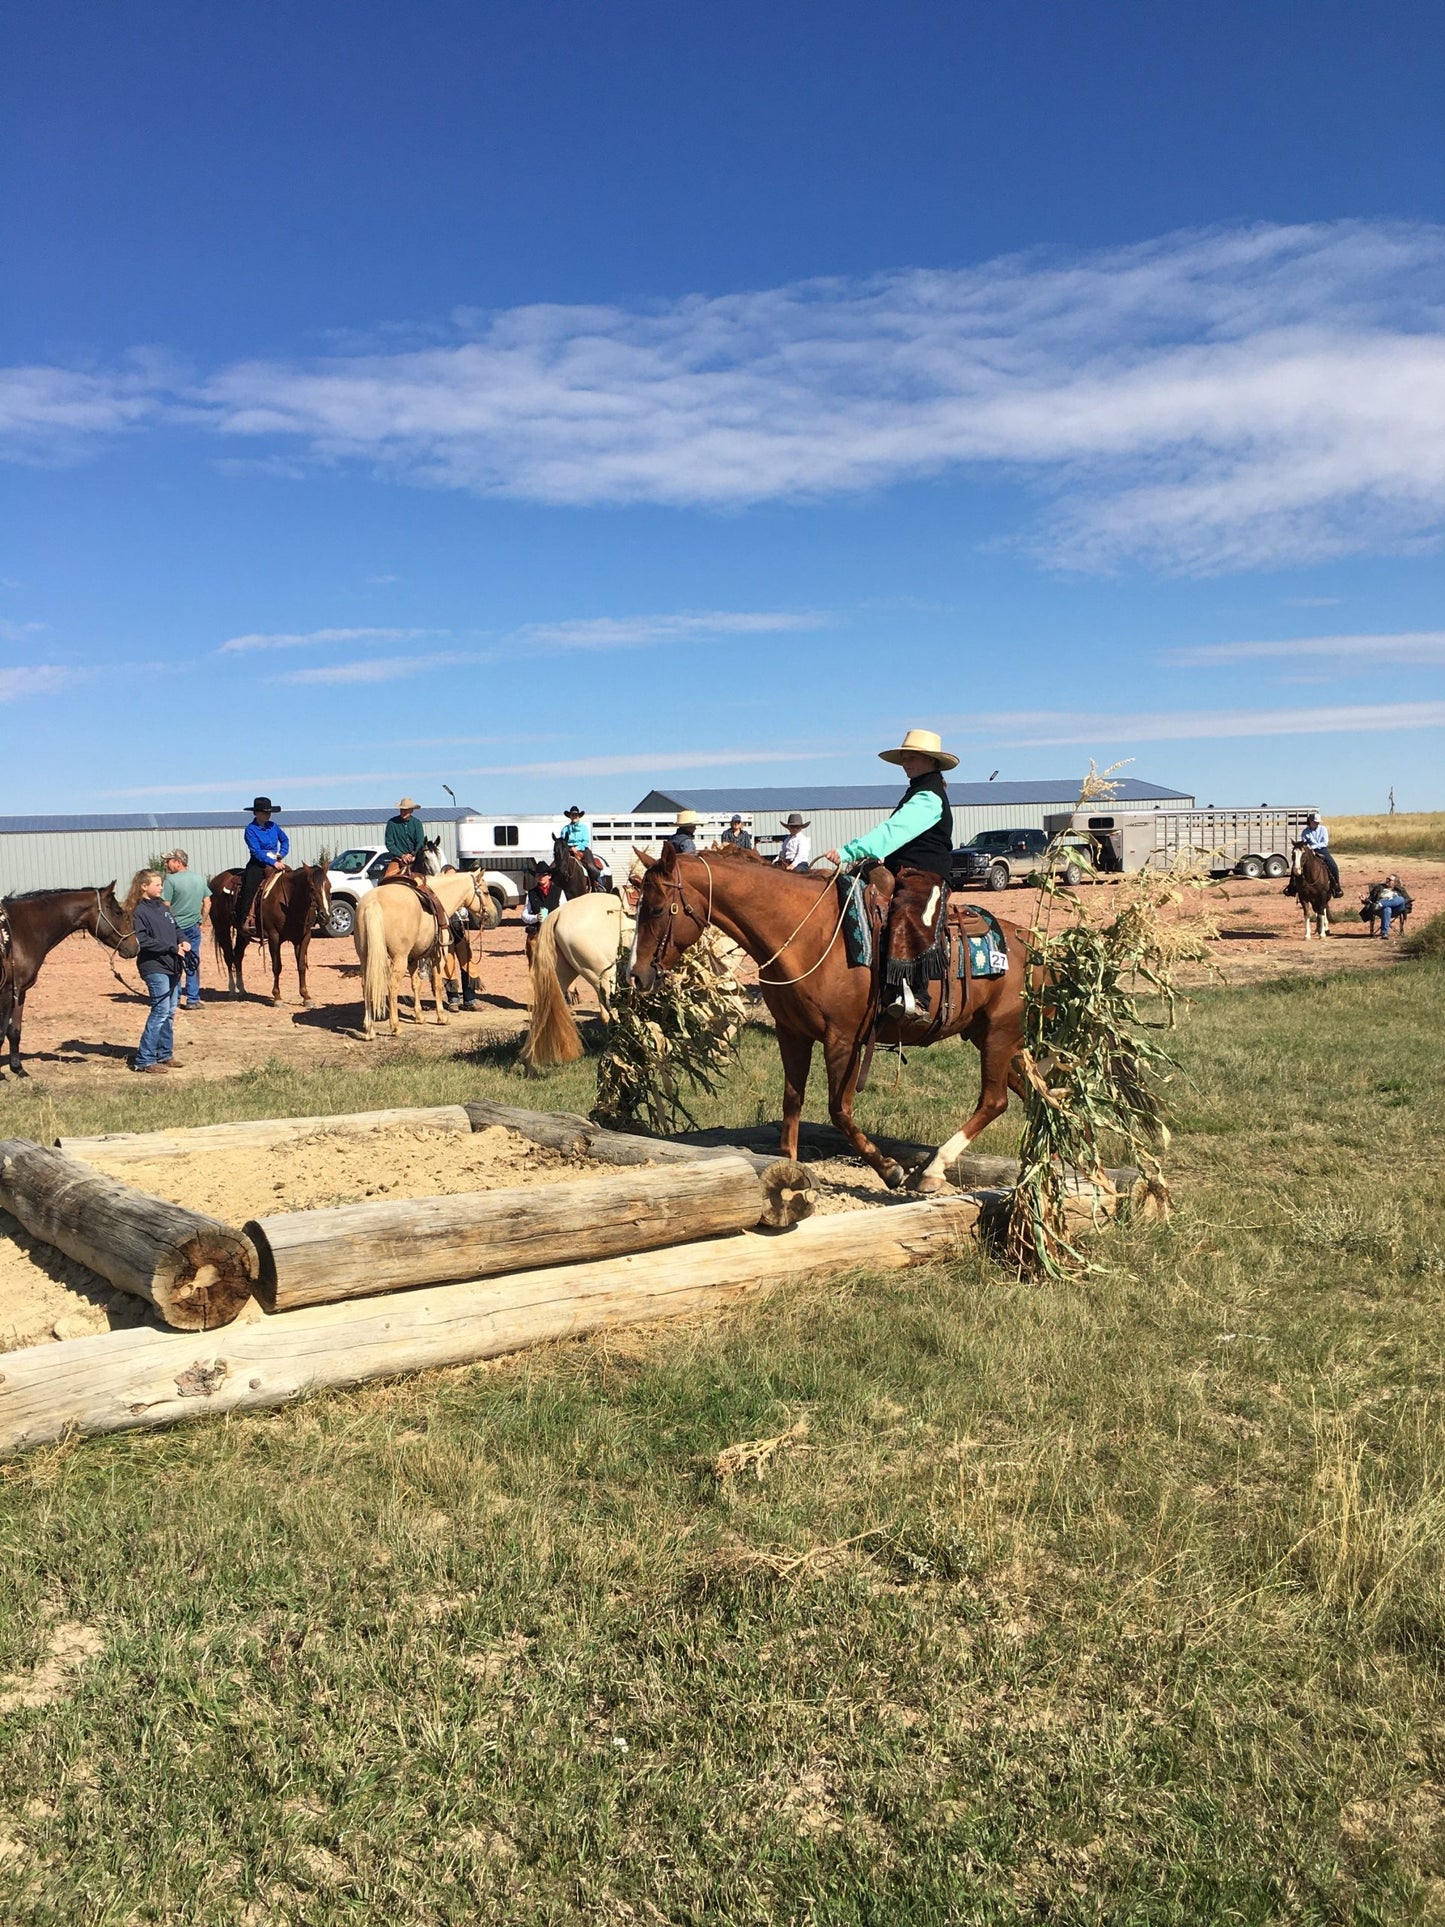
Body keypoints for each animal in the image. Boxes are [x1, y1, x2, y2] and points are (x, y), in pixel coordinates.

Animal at [0, 884, 137, 1079]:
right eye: (118, 912)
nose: (135, 947)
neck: (20, 931)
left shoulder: (19, 991)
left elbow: (14, 1031)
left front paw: (18, 1068)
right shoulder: (6, 992)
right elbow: (1, 1033)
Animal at [209, 865, 332, 1003]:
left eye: (329, 886)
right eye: (311, 887)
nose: (325, 915)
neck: (289, 902)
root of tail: (215, 881)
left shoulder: (304, 937)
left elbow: (301, 966)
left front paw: (306, 996)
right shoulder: (274, 937)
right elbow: (277, 966)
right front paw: (277, 996)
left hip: (243, 933)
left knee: (238, 956)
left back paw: (242, 990)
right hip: (221, 927)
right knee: (229, 957)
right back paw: (232, 992)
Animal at [354, 870, 492, 1039]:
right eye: (486, 892)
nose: (492, 913)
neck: (441, 896)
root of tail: (374, 902)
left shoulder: (413, 958)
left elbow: (416, 984)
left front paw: (419, 1017)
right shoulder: (438, 955)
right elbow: (437, 984)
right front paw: (442, 1017)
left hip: (365, 957)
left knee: (366, 985)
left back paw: (369, 1030)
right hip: (399, 958)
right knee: (392, 985)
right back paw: (395, 1027)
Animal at [627, 846, 1031, 1193]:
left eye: (658, 909)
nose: (636, 975)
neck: (808, 935)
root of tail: (1029, 941)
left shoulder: (844, 1040)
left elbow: (839, 1110)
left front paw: (889, 1169)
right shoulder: (791, 1033)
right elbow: (792, 1101)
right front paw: (790, 1174)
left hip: (998, 1035)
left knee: (994, 1101)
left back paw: (932, 1170)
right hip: (994, 1038)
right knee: (1030, 1092)